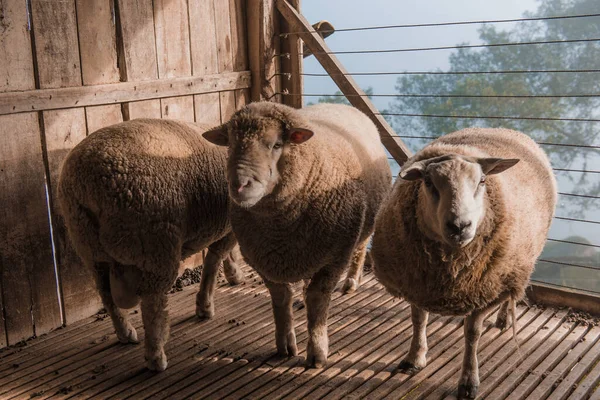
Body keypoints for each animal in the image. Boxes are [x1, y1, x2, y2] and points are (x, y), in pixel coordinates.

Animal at [56, 119, 244, 372]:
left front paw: (232, 274)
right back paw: (156, 356)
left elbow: (221, 256)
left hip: (89, 248)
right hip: (156, 245)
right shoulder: (230, 225)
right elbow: (214, 260)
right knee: (152, 305)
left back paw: (125, 332)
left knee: (105, 293)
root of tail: (87, 188)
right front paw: (205, 305)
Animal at [203, 101, 394, 368]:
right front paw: (285, 343)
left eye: (276, 145)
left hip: (366, 219)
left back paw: (352, 281)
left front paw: (317, 351)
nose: (239, 185)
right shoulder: (264, 258)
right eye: (230, 144)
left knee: (361, 245)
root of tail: (340, 104)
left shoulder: (335, 256)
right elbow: (281, 297)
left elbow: (318, 298)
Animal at [372, 126, 556, 398]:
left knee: (512, 293)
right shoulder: (416, 283)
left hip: (514, 269)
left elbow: (472, 334)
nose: (460, 226)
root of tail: (503, 129)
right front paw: (414, 359)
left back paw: (504, 318)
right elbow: (418, 320)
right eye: (428, 182)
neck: (450, 266)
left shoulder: (484, 290)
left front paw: (469, 381)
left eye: (482, 181)